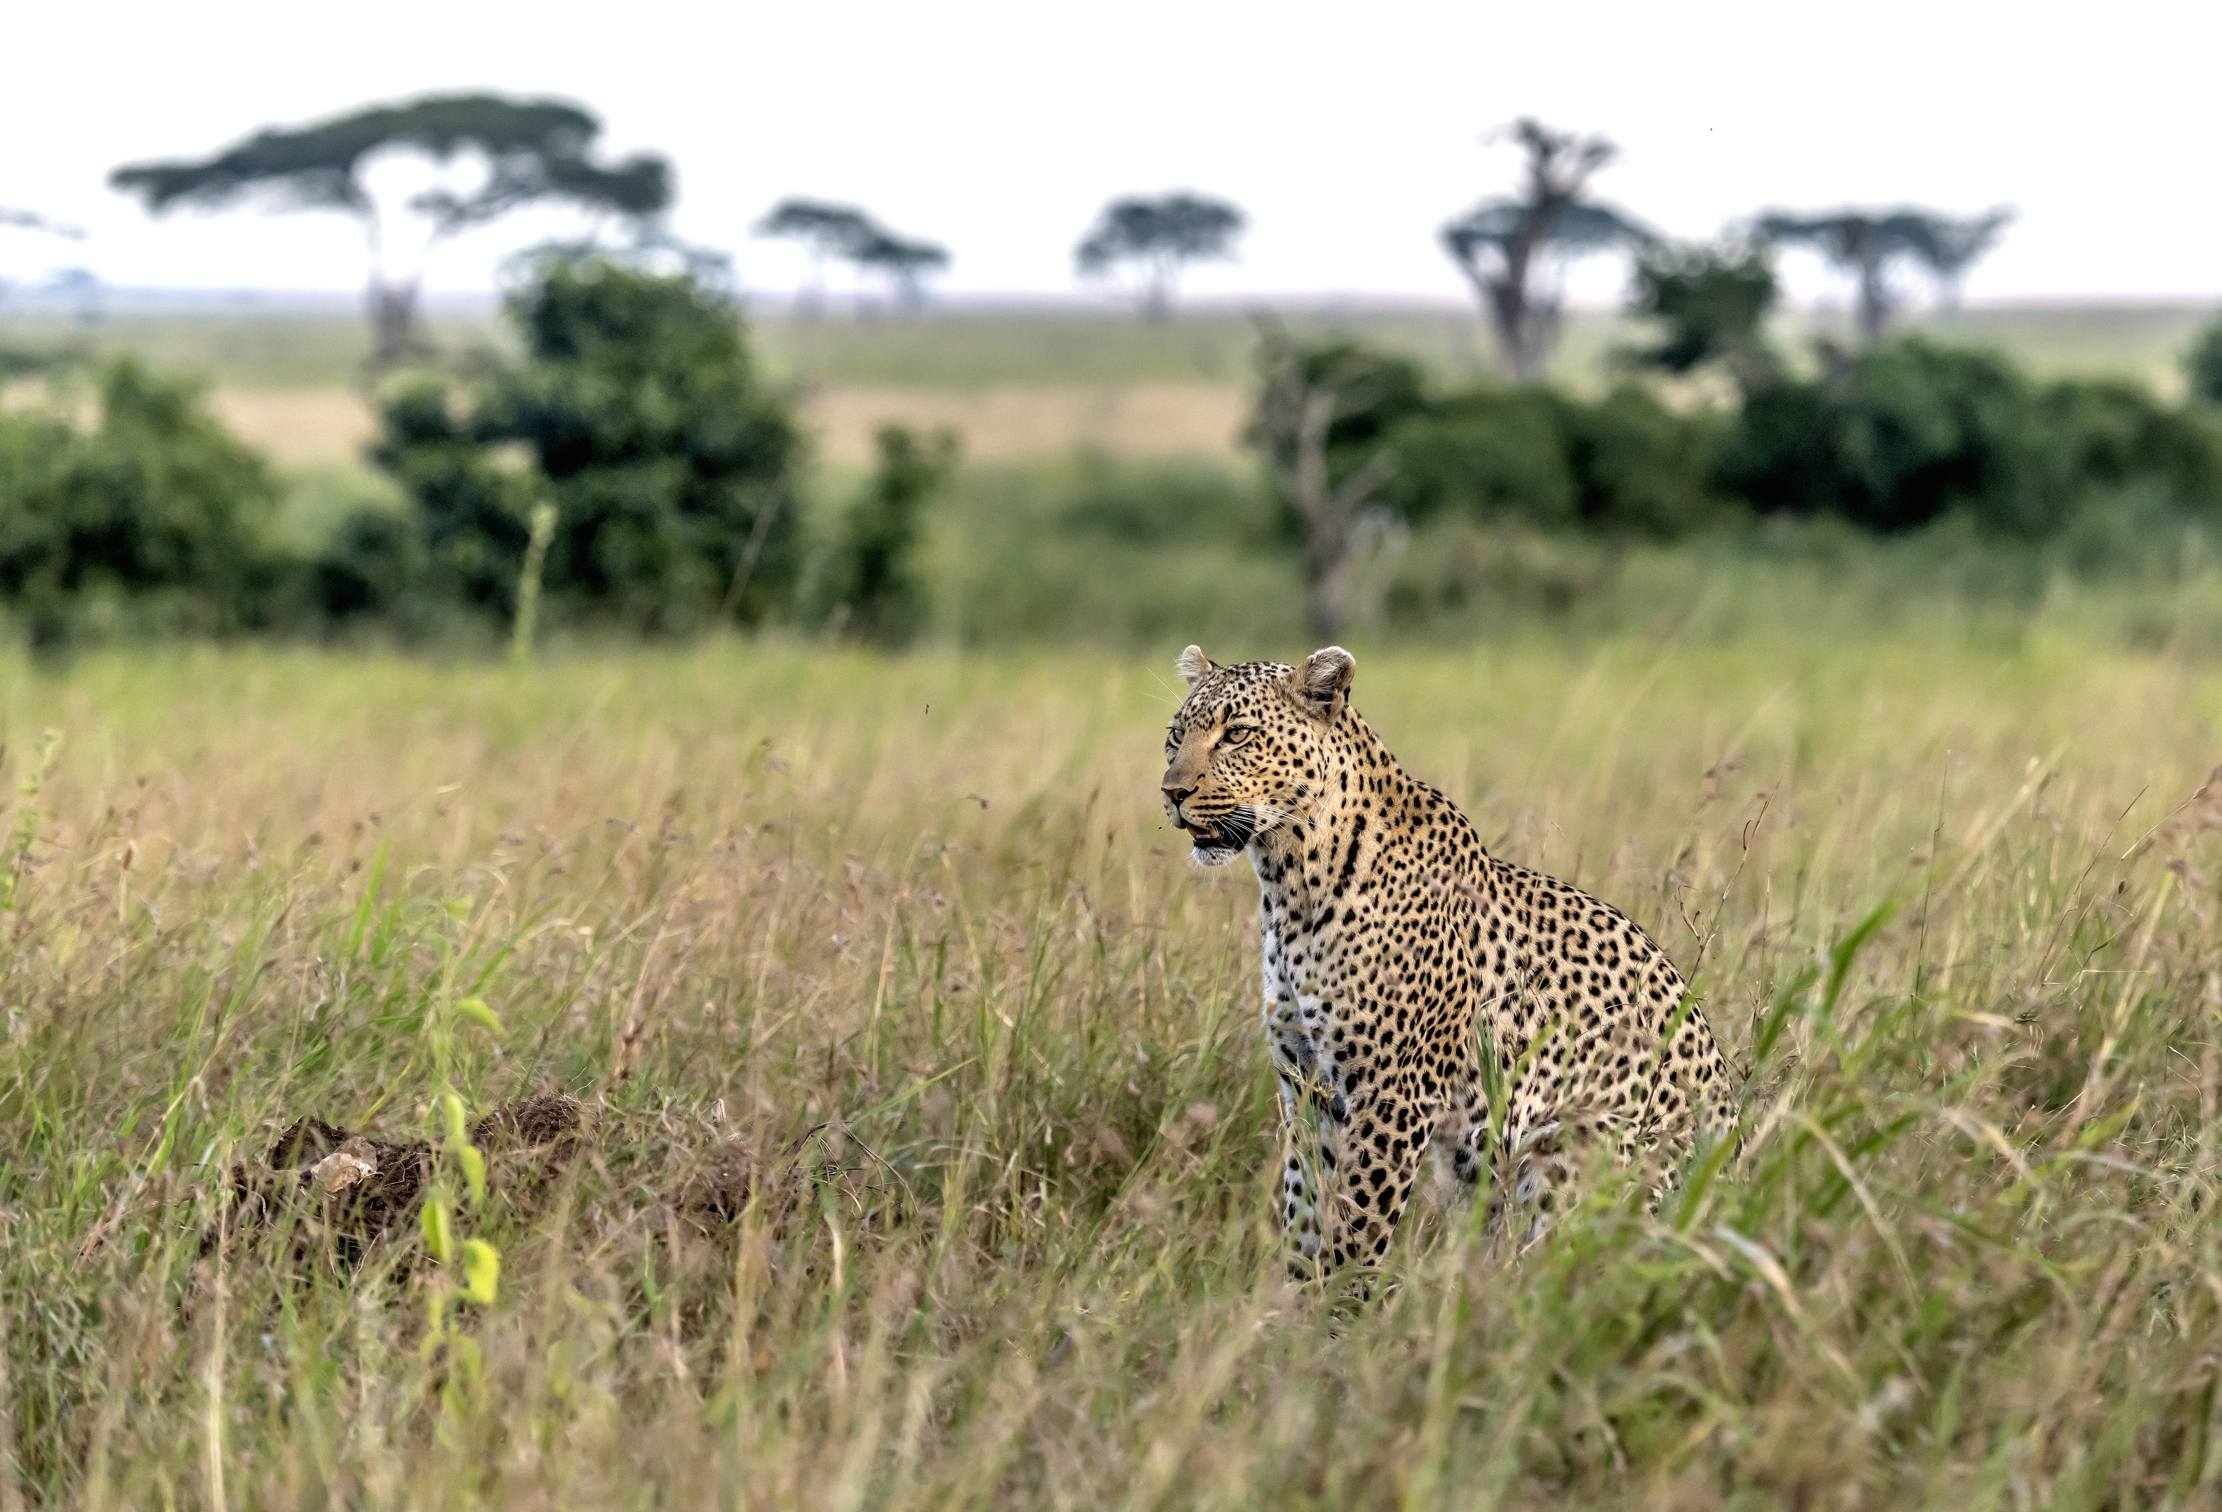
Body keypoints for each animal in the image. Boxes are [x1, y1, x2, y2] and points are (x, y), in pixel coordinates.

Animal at [1160, 643, 1734, 1279]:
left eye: (1237, 735)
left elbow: (1359, 1227)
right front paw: (1294, 1301)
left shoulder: (1393, 1094)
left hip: (1571, 1148)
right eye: (1176, 736)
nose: (1171, 792)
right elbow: (1304, 1215)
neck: (1290, 884)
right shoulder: (1307, 1088)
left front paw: (1342, 1302)